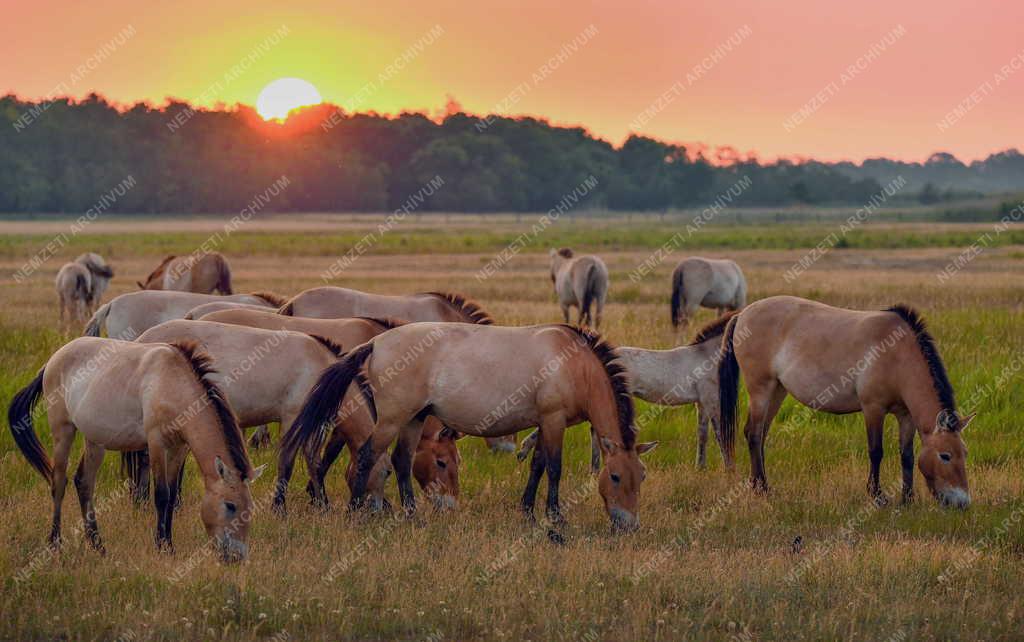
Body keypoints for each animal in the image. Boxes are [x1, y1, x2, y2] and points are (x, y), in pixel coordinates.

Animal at [6, 339, 260, 561]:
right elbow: (162, 495)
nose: (237, 558)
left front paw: (168, 544)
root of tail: (53, 360)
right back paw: (55, 543)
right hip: (63, 430)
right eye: (230, 505)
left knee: (84, 482)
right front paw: (163, 548)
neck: (174, 383)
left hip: (95, 441)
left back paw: (98, 546)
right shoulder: (156, 442)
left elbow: (172, 494)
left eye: (249, 509)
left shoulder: (178, 448)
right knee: (59, 482)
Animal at [278, 323, 655, 528]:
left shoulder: (544, 423)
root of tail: (376, 343)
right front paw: (555, 517)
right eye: (615, 477)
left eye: (642, 476)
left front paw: (528, 512)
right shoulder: (553, 420)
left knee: (401, 460)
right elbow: (554, 468)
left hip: (414, 419)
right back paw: (355, 511)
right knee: (370, 455)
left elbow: (537, 465)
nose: (629, 525)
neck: (573, 363)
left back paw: (413, 515)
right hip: (392, 418)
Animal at [520, 315, 737, 473]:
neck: (705, 356)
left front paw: (701, 467)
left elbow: (703, 434)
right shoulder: (711, 400)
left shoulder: (702, 402)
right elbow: (720, 433)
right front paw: (728, 468)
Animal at [716, 294, 970, 507]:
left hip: (777, 391)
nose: (962, 502)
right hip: (761, 389)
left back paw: (759, 484)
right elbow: (876, 451)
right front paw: (877, 495)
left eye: (964, 453)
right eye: (945, 456)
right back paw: (762, 489)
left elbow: (906, 455)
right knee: (754, 433)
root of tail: (743, 314)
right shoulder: (873, 408)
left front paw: (907, 499)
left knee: (759, 435)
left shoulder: (905, 415)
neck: (897, 354)